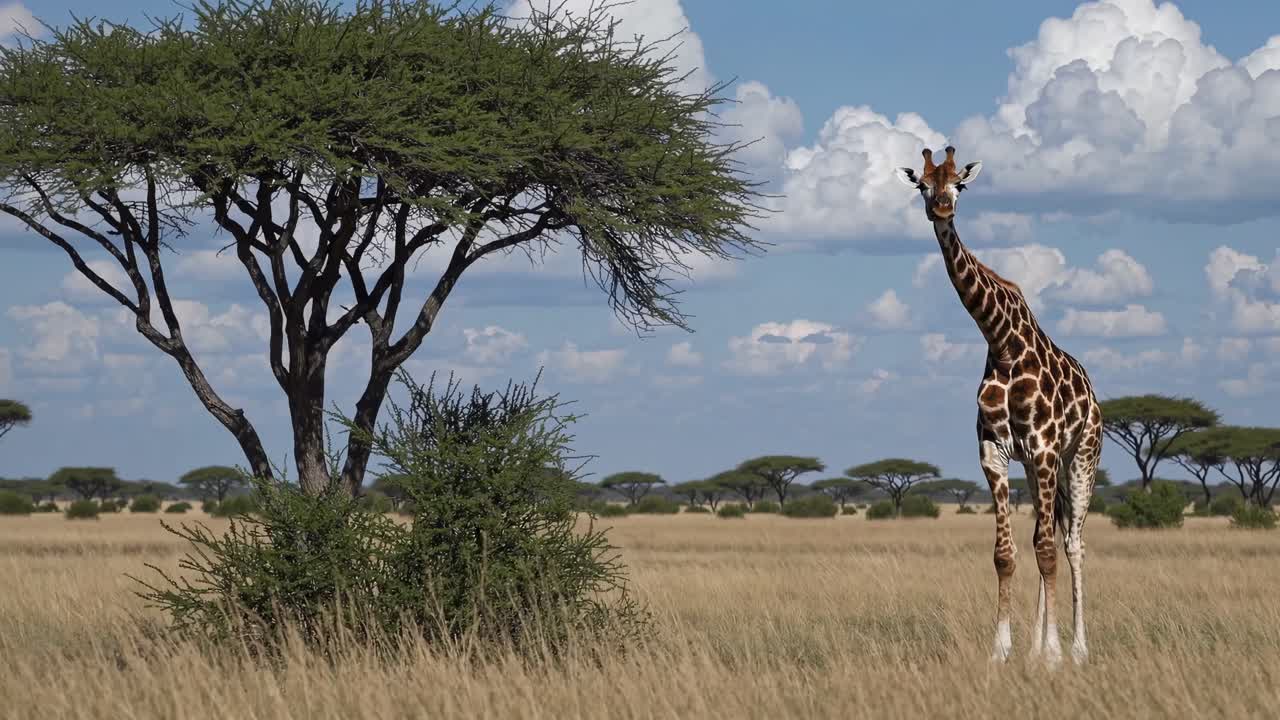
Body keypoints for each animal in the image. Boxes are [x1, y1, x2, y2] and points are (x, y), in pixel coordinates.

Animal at [894, 147, 1103, 667]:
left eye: (960, 184)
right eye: (922, 184)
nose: (941, 209)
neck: (1003, 342)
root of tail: (1094, 396)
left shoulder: (1045, 447)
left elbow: (1048, 552)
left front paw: (1053, 656)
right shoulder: (996, 451)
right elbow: (1007, 554)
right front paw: (1004, 651)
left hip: (1081, 456)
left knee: (1073, 544)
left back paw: (1077, 649)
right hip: (1039, 467)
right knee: (1046, 536)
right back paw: (1037, 645)